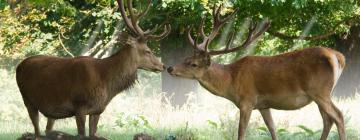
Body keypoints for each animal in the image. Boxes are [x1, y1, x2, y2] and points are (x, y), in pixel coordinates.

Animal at [15, 0, 170, 139]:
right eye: (147, 51)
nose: (163, 66)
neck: (106, 83)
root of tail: (19, 66)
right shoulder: (79, 106)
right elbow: (82, 134)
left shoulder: (97, 111)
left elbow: (93, 133)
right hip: (27, 99)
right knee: (36, 131)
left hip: (50, 112)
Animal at [168, 5, 346, 140]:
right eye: (185, 58)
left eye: (193, 64)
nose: (170, 68)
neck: (231, 81)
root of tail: (338, 56)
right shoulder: (263, 105)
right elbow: (272, 129)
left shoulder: (247, 100)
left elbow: (241, 133)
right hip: (323, 93)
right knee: (327, 120)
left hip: (319, 90)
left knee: (338, 116)